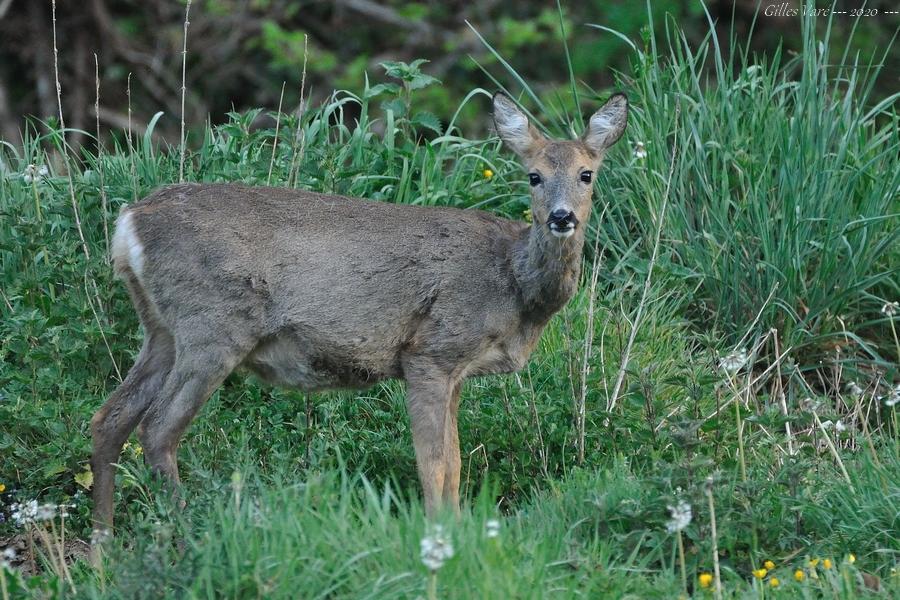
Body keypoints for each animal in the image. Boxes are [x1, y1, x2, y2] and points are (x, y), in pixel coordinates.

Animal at [89, 91, 624, 532]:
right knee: (157, 429)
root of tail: (128, 224)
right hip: (213, 325)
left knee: (110, 418)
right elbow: (436, 464)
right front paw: (440, 537)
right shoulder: (430, 352)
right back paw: (187, 537)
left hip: (162, 330)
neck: (513, 285)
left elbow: (455, 464)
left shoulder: (456, 371)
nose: (562, 217)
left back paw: (102, 551)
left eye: (587, 174)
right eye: (534, 176)